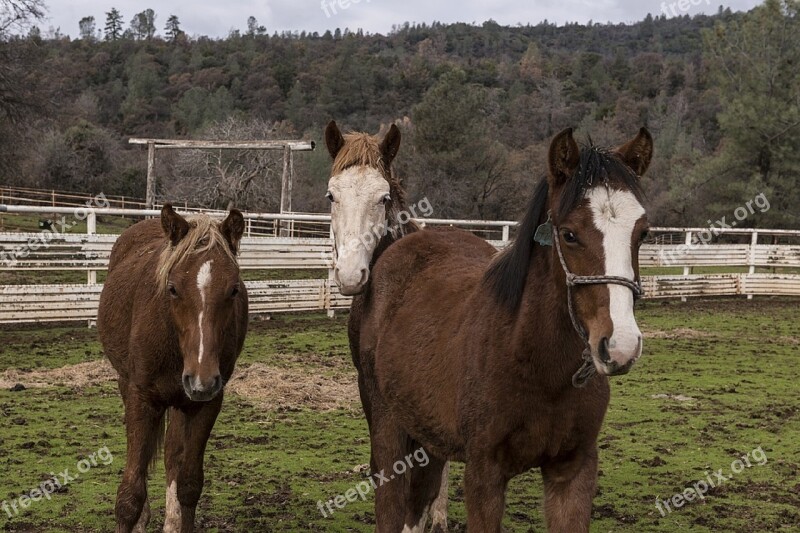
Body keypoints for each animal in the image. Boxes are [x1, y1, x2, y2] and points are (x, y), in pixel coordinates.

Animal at [100, 205, 250, 532]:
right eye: (173, 289)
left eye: (234, 290)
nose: (202, 380)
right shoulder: (141, 398)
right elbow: (129, 495)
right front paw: (137, 516)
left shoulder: (205, 403)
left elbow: (189, 484)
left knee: (171, 456)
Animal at [360, 127, 652, 528]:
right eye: (569, 234)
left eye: (643, 233)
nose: (620, 346)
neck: (534, 362)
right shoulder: (484, 474)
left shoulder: (574, 470)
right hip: (389, 432)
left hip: (428, 438)